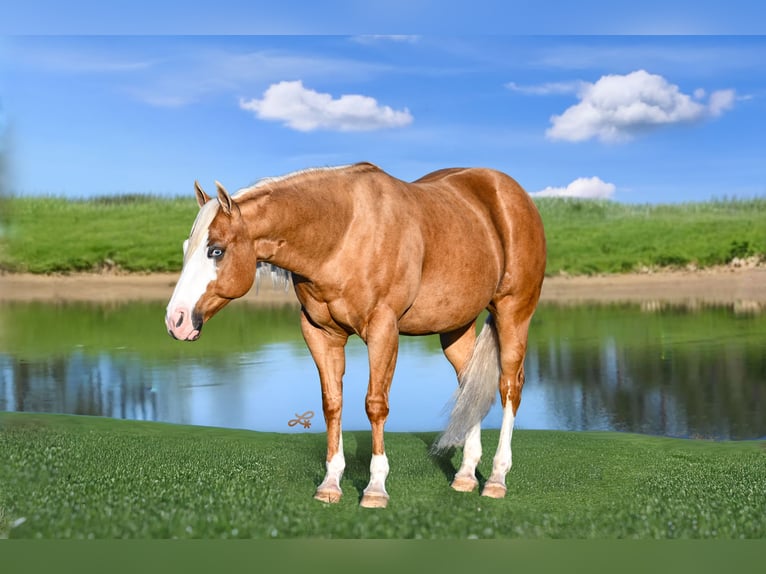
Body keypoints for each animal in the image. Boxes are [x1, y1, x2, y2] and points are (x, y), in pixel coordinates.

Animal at [165, 162, 546, 508]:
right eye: (186, 248)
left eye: (216, 250)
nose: (176, 320)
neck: (342, 235)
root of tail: (510, 192)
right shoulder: (321, 333)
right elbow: (332, 403)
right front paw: (330, 484)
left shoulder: (383, 329)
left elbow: (375, 405)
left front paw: (375, 488)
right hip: (456, 327)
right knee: (470, 387)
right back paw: (466, 475)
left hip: (514, 313)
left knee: (509, 387)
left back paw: (496, 478)